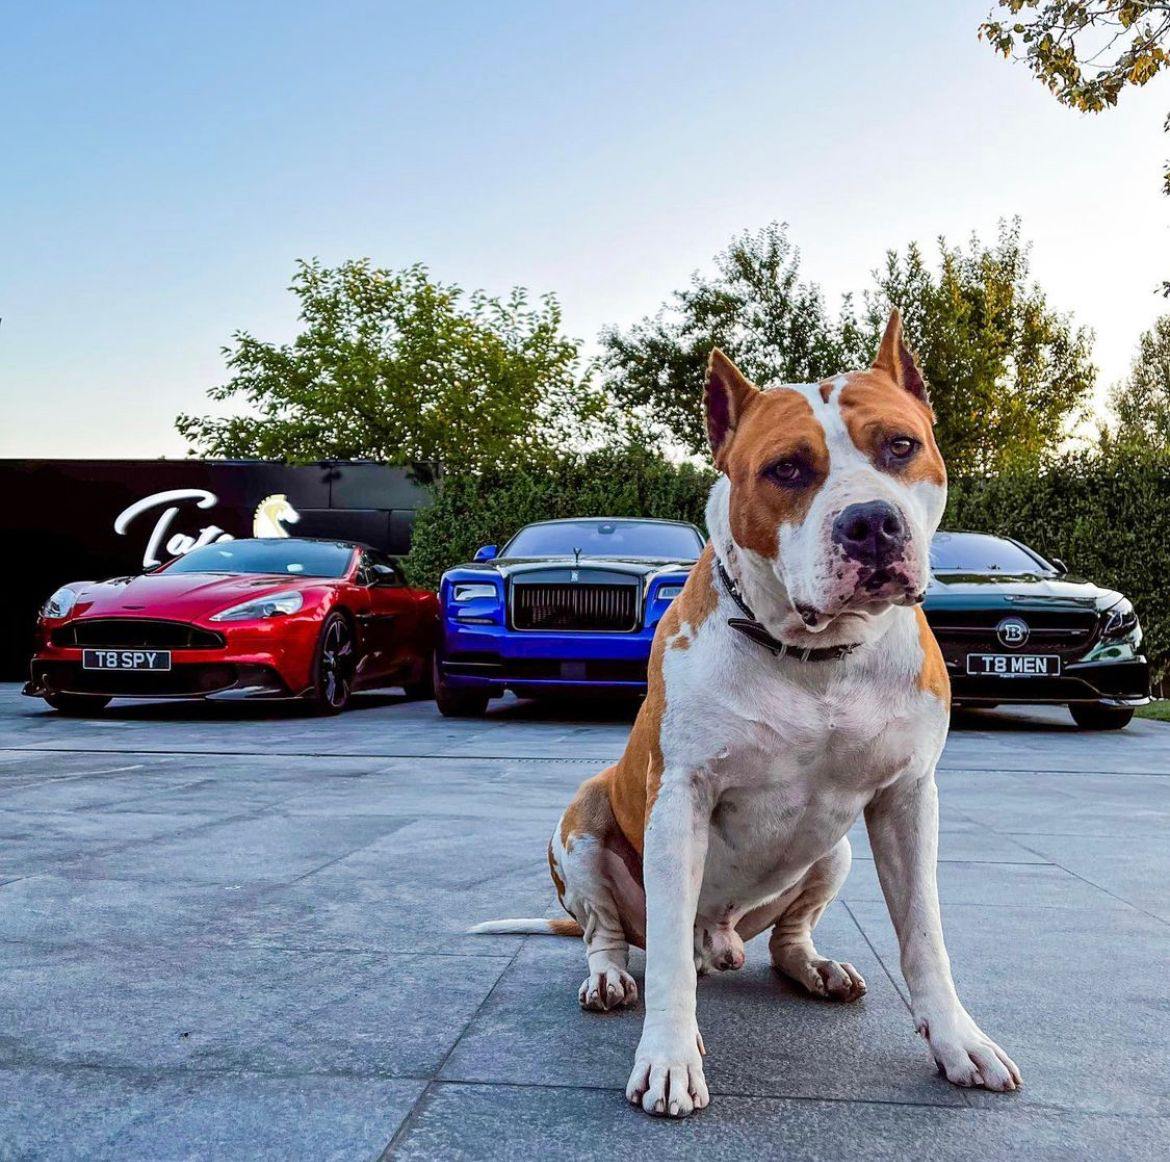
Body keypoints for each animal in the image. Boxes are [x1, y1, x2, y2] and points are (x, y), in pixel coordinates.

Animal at [470, 311, 1020, 1114]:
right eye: (787, 469)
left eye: (901, 445)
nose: (872, 524)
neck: (817, 655)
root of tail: (721, 938)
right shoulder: (679, 802)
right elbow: (668, 954)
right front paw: (669, 1058)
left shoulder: (907, 798)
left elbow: (925, 937)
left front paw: (958, 1041)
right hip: (584, 822)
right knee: (611, 931)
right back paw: (610, 976)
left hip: (836, 851)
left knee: (786, 936)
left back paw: (815, 968)